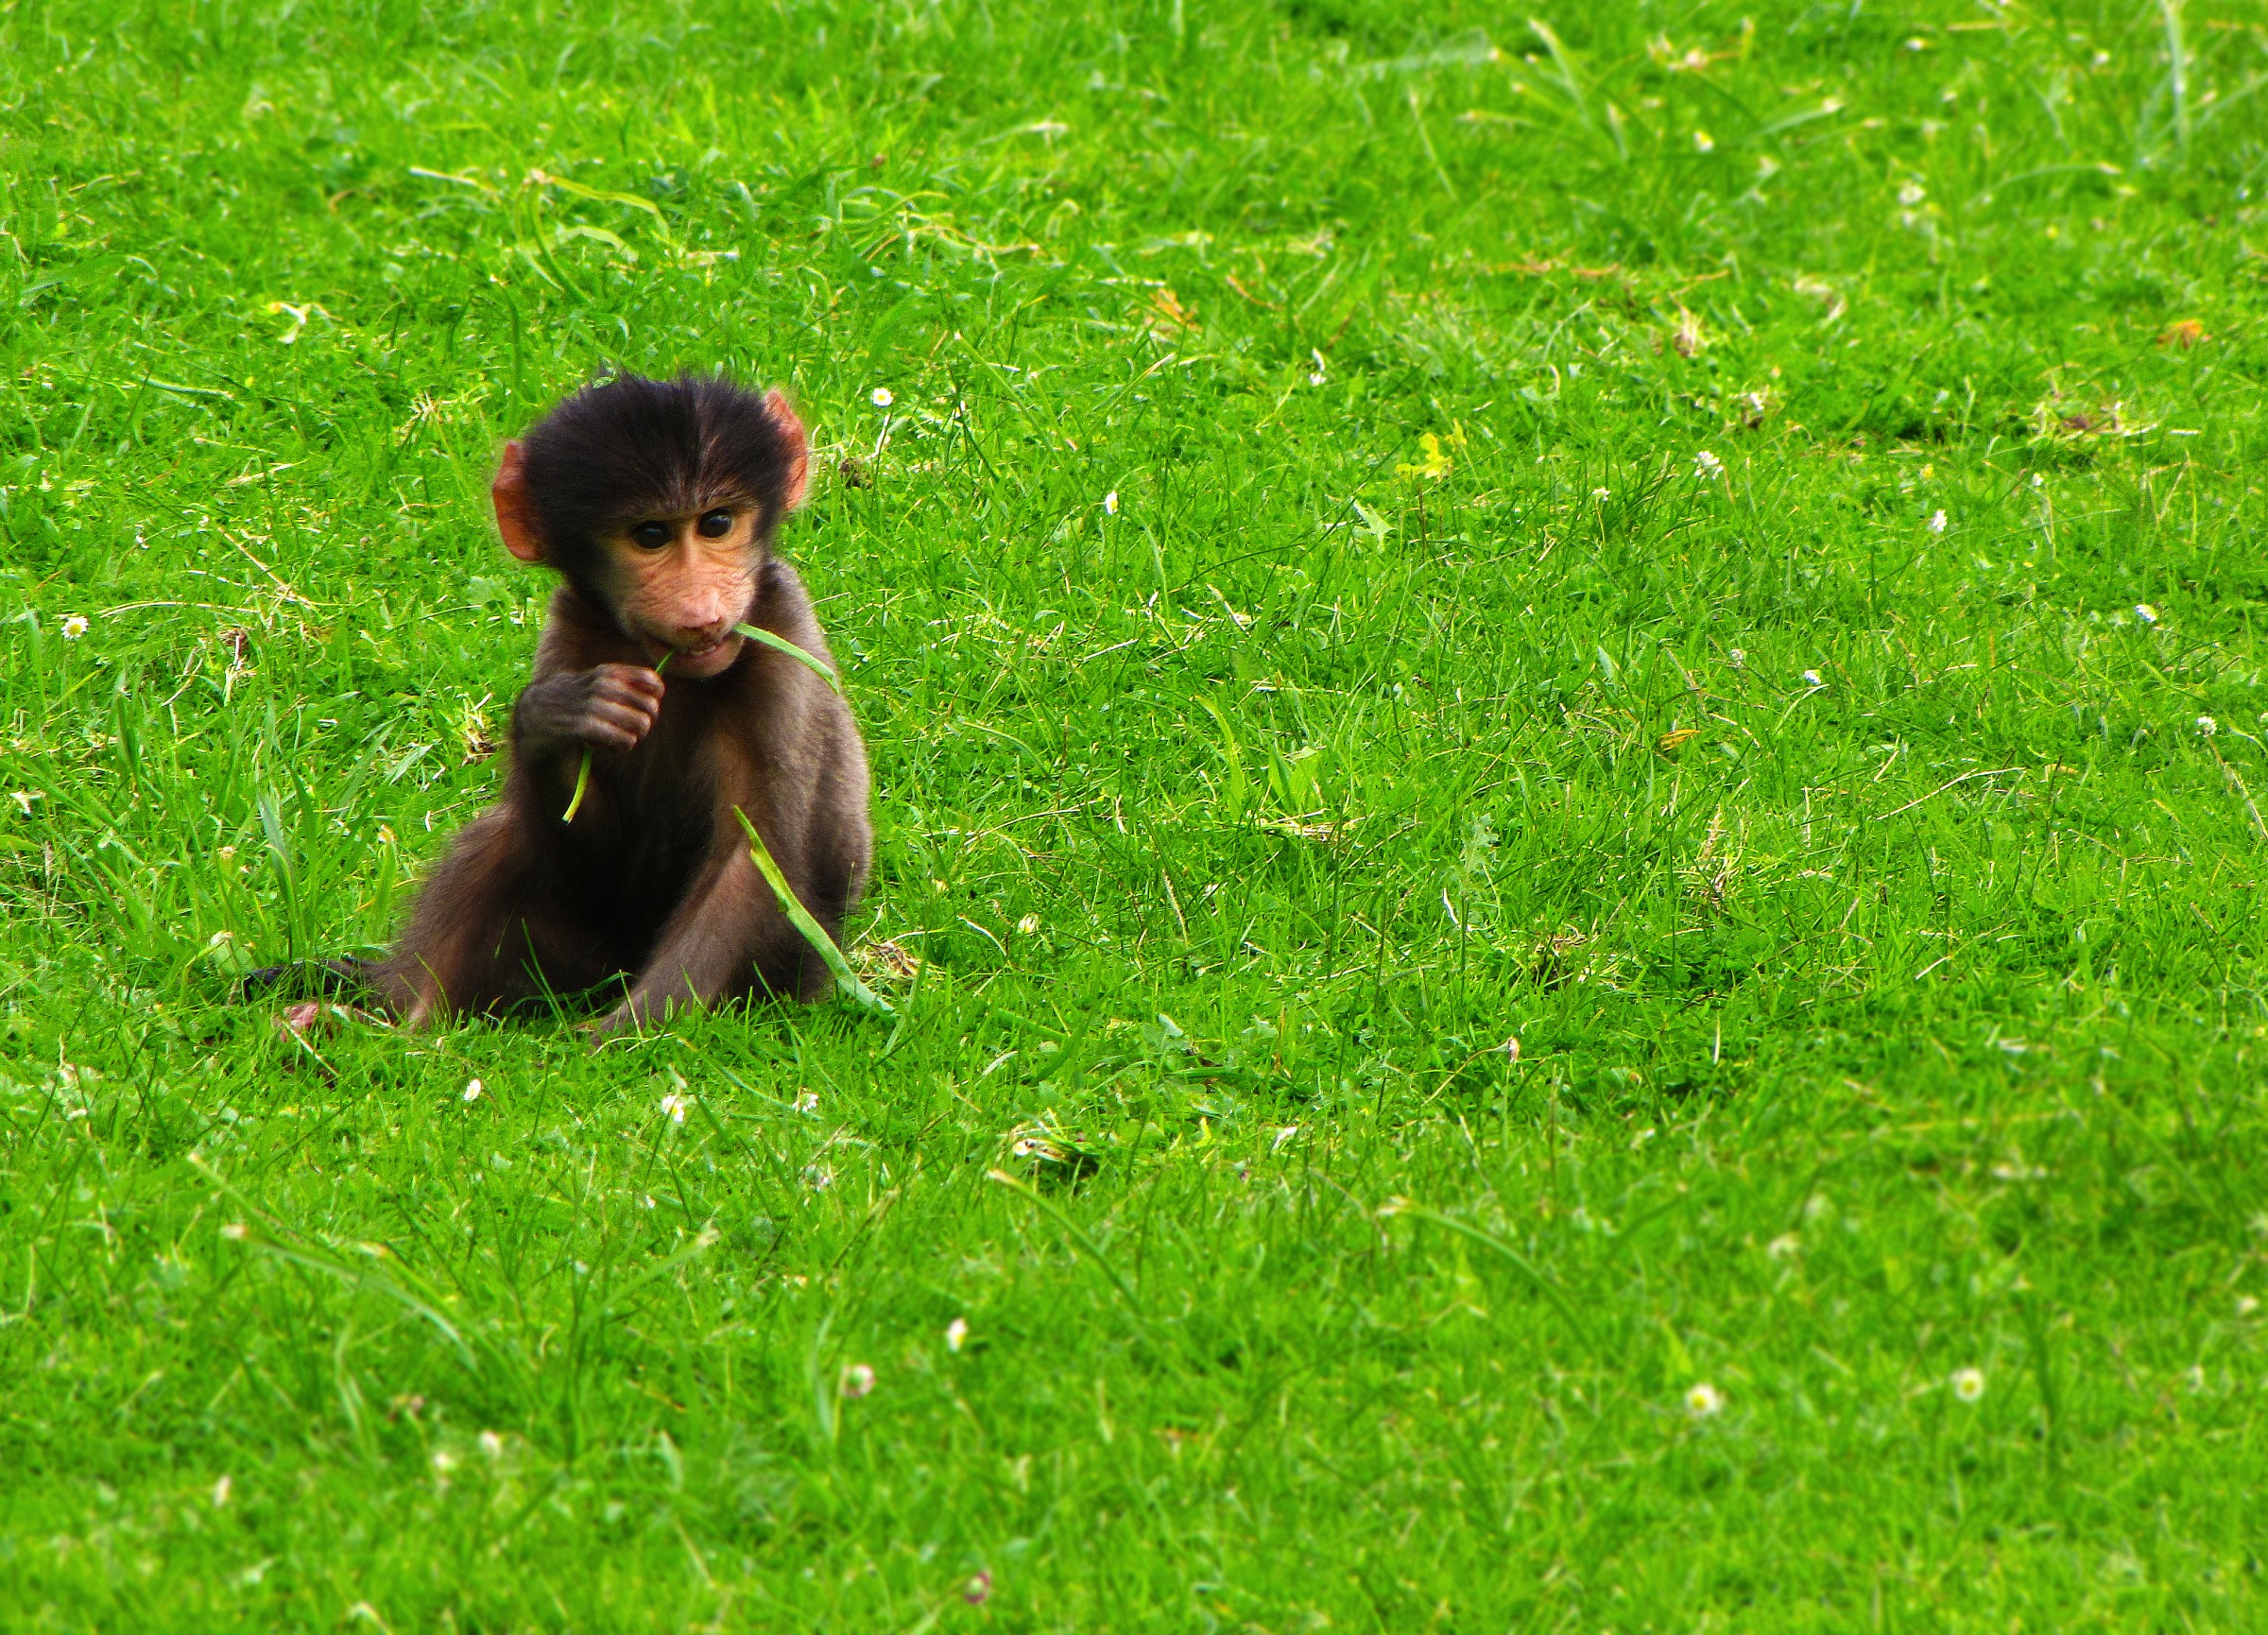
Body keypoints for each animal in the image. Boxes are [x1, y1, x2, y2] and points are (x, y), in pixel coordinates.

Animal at [357, 372, 872, 1037]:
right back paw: (400, 1027)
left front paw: (616, 1036)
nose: (700, 609)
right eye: (650, 535)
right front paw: (553, 721)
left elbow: (751, 861)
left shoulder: (783, 642)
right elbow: (590, 855)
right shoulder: (571, 636)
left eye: (716, 523)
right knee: (505, 837)